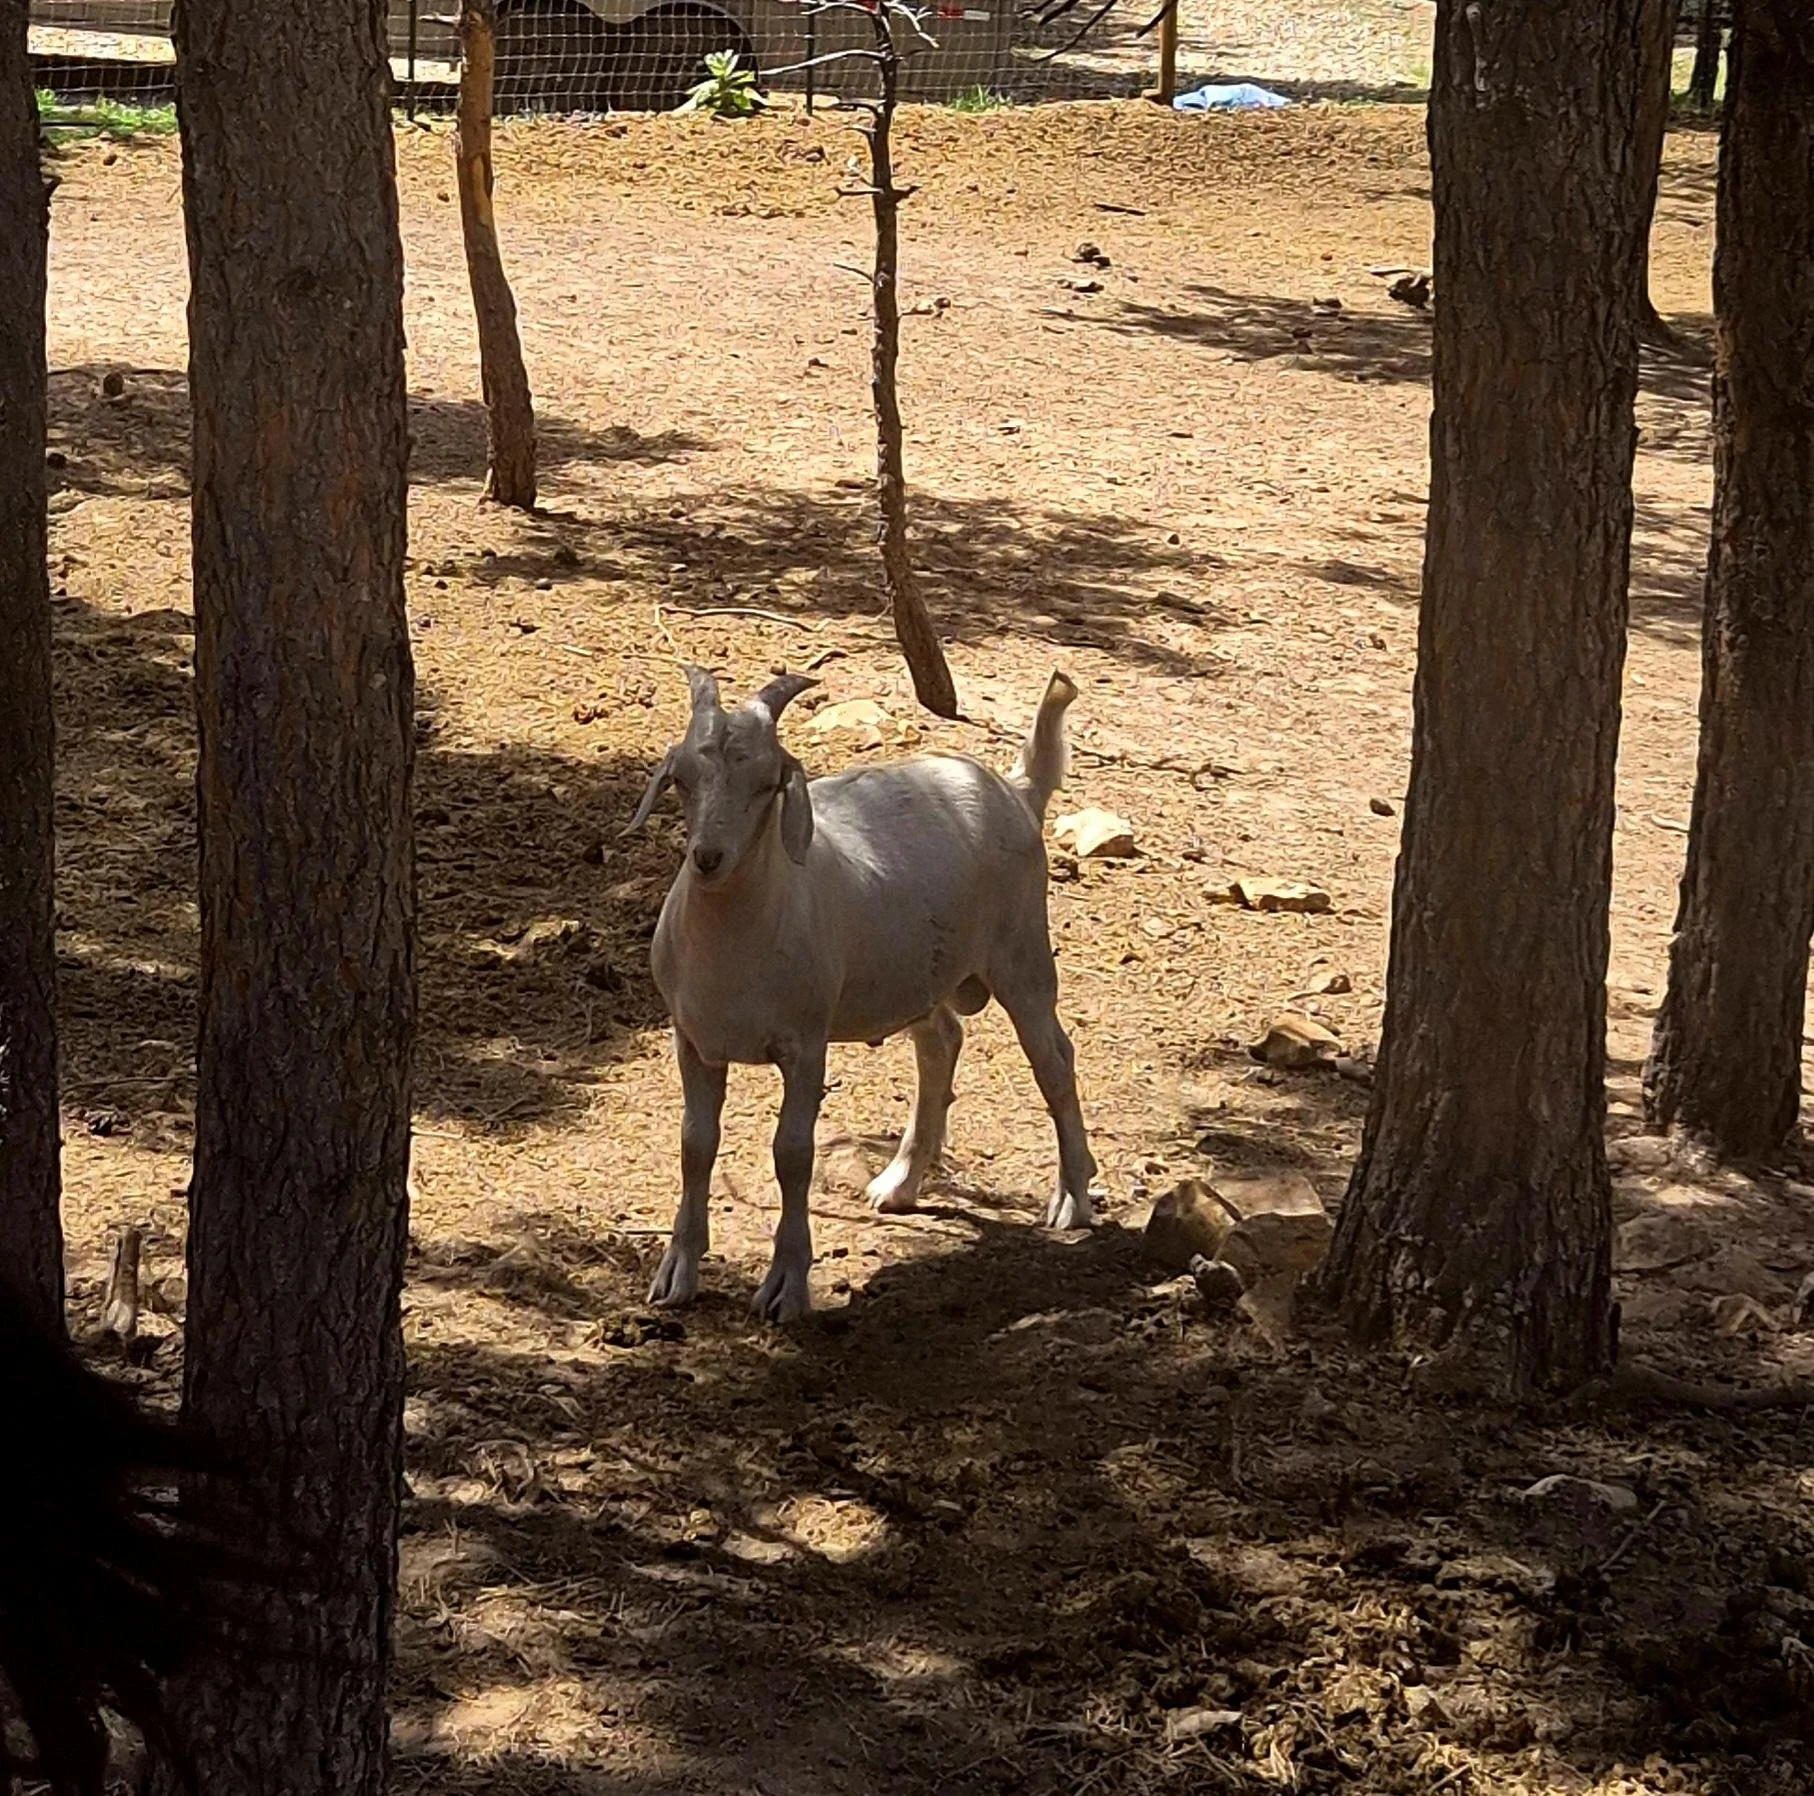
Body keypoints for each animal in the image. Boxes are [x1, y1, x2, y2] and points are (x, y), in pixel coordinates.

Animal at [626, 665, 1097, 1323]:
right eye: (682, 780)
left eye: (767, 784)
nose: (709, 859)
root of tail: (1014, 789)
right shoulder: (692, 1039)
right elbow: (696, 1144)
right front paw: (676, 1274)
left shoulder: (804, 1043)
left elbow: (792, 1154)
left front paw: (786, 1286)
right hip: (919, 974)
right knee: (941, 1042)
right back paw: (900, 1183)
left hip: (1022, 951)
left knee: (1054, 1060)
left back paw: (1072, 1198)